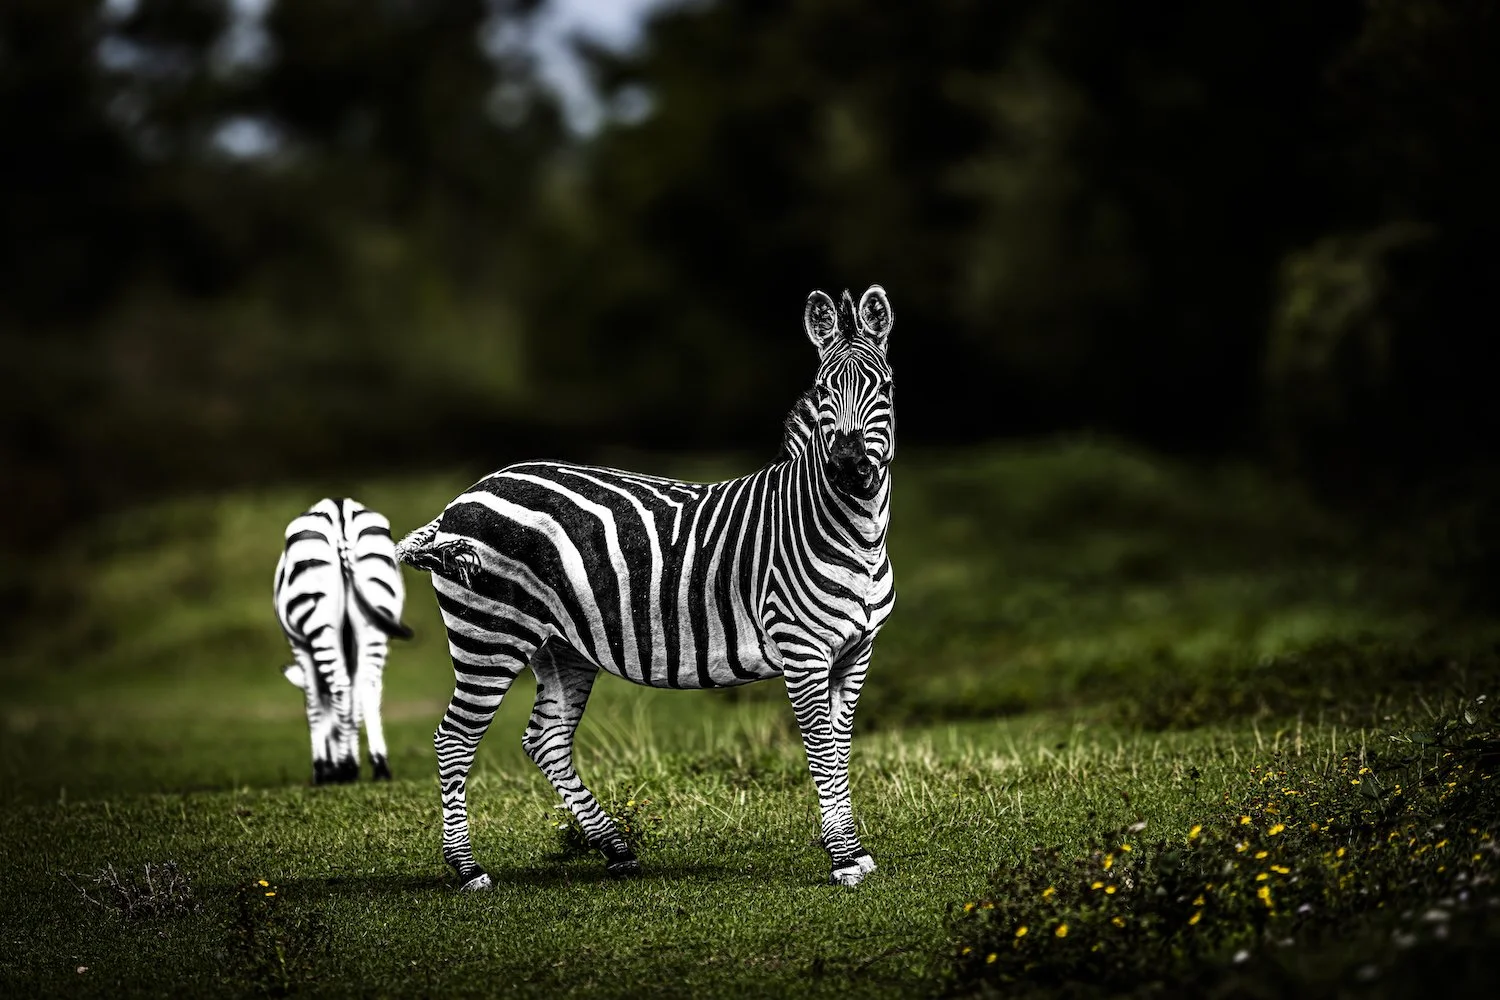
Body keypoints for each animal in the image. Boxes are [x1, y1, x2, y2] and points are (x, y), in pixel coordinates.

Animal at [274, 497, 414, 784]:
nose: (328, 767)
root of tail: (339, 511)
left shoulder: (300, 646)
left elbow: (314, 703)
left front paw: (323, 768)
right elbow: (354, 700)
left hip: (317, 618)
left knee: (340, 685)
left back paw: (347, 766)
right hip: (375, 616)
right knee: (367, 686)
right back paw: (380, 766)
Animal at [397, 285, 896, 889]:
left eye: (884, 387)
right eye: (823, 391)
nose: (848, 468)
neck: (854, 533)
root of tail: (461, 498)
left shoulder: (858, 649)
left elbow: (842, 747)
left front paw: (854, 850)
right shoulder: (802, 649)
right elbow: (823, 749)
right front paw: (844, 858)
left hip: (559, 646)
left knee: (545, 739)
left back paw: (615, 847)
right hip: (489, 636)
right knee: (454, 739)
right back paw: (468, 868)